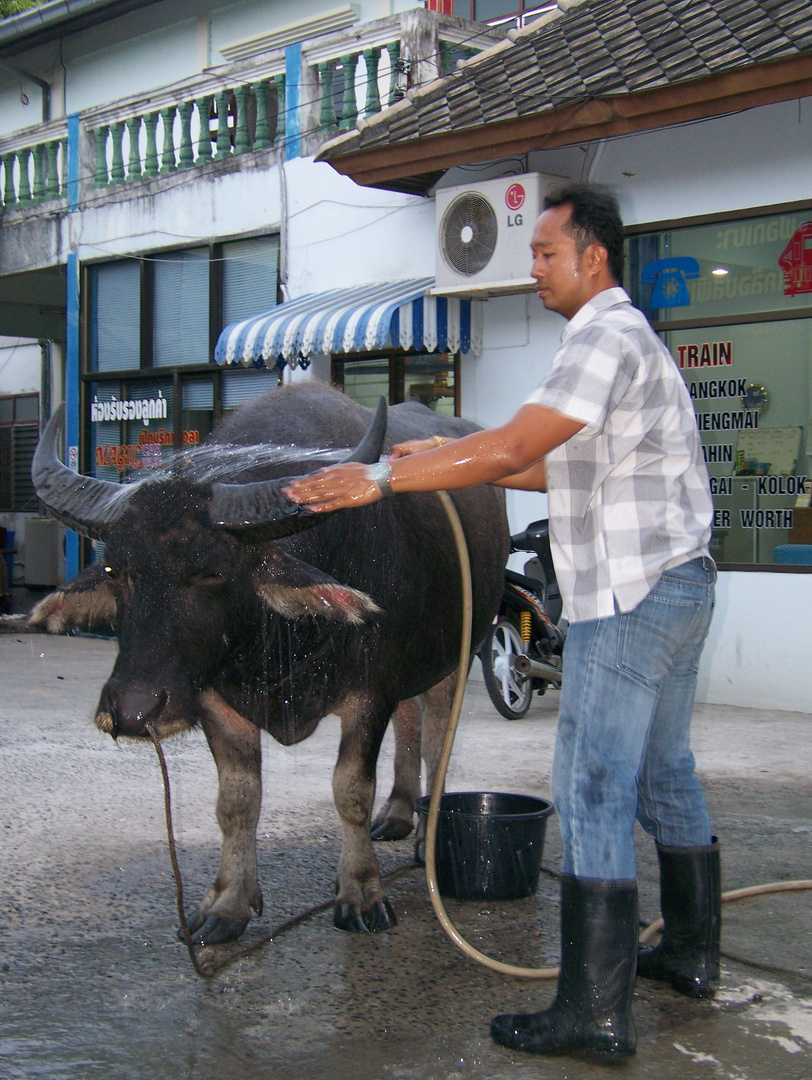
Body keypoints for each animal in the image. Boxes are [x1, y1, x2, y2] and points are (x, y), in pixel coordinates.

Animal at [31, 384, 507, 941]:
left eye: (211, 571)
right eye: (114, 569)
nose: (133, 710)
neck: (280, 640)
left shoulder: (371, 692)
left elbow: (351, 790)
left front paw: (360, 893)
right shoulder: (213, 697)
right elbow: (237, 800)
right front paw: (227, 904)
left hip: (459, 651)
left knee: (435, 738)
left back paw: (424, 833)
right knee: (410, 724)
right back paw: (397, 812)